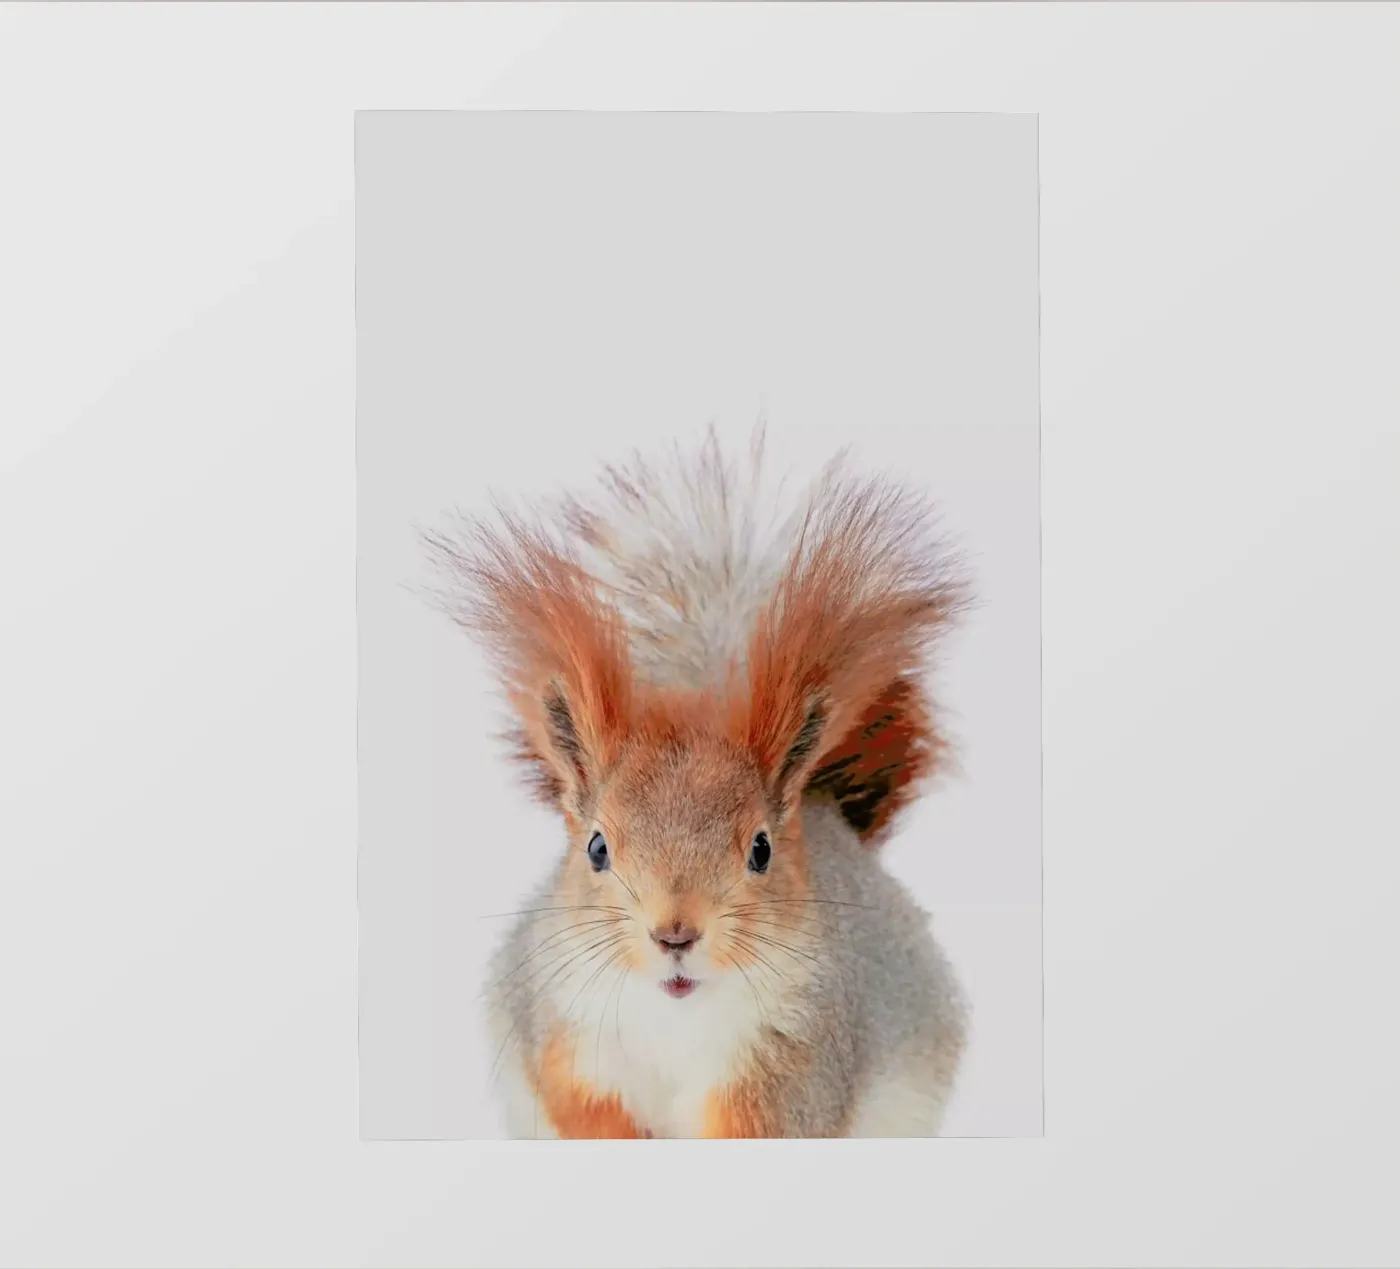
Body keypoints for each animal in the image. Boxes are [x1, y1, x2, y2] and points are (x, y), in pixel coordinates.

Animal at [423, 425, 971, 1138]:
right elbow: (582, 1106)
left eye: (762, 850)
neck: (674, 1016)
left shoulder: (796, 1060)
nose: (675, 935)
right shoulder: (562, 1030)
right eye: (595, 847)